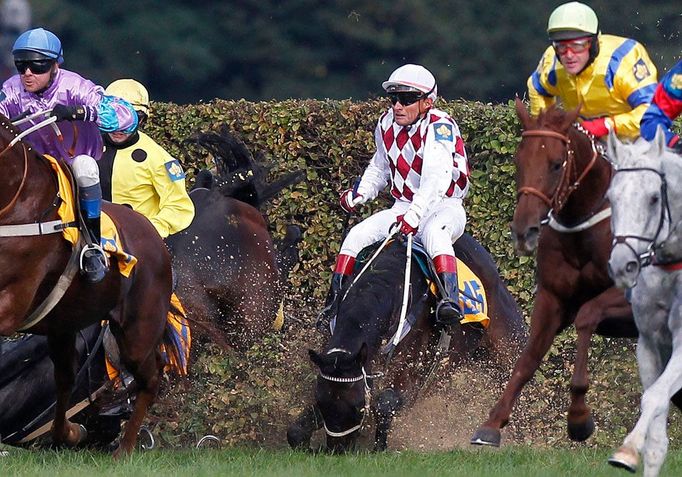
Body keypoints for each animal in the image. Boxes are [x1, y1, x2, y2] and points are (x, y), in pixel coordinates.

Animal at [0, 113, 173, 456]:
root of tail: (154, 236)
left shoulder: (11, 301)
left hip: (138, 329)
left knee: (150, 377)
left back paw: (124, 449)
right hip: (64, 323)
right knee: (65, 378)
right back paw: (68, 433)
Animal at [470, 99, 640, 446]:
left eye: (557, 164)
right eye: (518, 159)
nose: (524, 230)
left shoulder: (628, 300)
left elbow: (587, 316)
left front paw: (579, 418)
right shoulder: (552, 298)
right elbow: (527, 359)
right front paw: (492, 424)